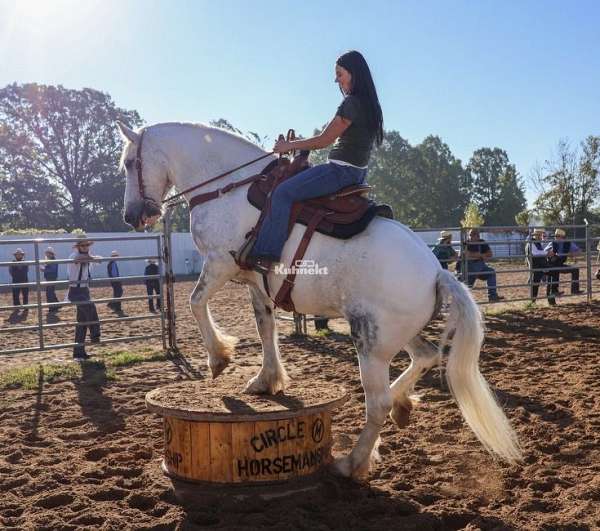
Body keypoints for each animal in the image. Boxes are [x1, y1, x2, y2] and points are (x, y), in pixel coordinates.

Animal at [118, 122, 520, 480]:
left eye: (129, 162)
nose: (132, 215)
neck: (226, 188)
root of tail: (437, 271)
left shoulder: (220, 263)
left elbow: (195, 302)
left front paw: (219, 358)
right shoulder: (254, 281)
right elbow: (265, 327)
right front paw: (266, 380)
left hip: (370, 343)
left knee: (377, 403)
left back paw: (352, 463)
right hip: (394, 335)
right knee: (425, 356)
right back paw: (402, 406)